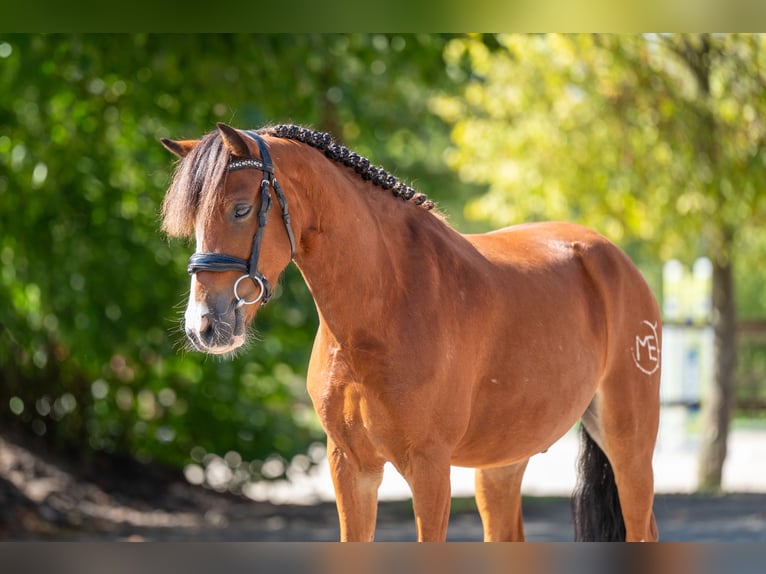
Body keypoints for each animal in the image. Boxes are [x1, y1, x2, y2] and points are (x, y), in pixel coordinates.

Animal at [160, 123, 662, 542]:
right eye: (195, 221)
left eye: (242, 209)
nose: (205, 325)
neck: (386, 305)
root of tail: (611, 258)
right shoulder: (350, 466)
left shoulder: (429, 468)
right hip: (503, 462)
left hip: (629, 446)